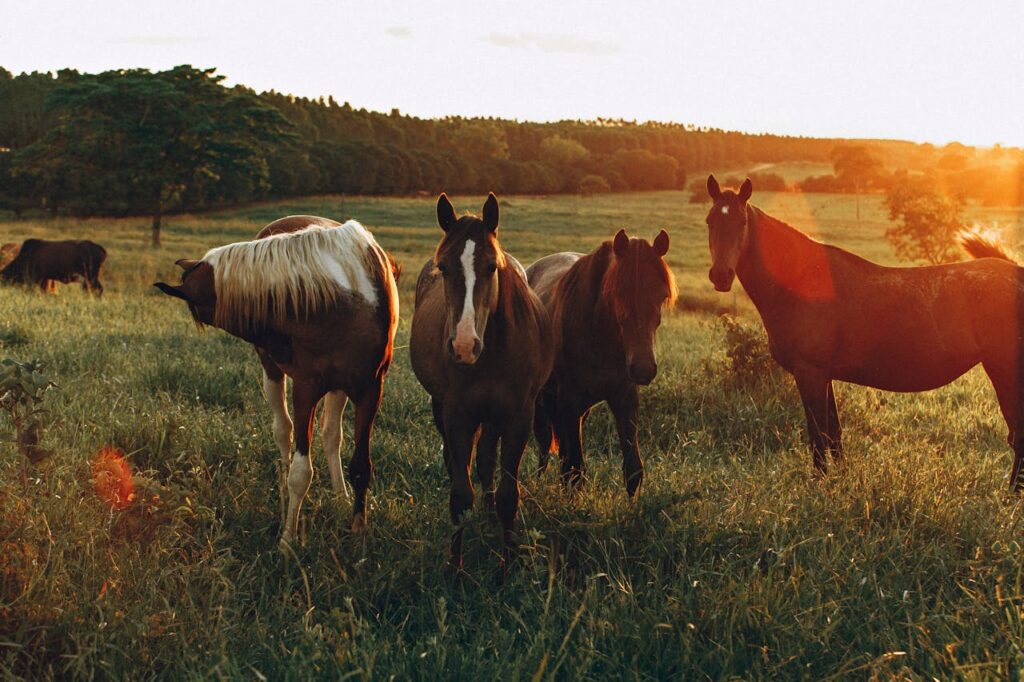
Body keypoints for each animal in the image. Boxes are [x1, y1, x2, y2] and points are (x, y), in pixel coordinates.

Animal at [154, 215, 400, 548]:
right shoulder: (305, 389)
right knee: (283, 431)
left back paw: (339, 496)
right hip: (273, 373)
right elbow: (300, 471)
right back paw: (285, 495)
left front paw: (358, 531)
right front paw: (287, 539)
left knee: (330, 435)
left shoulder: (369, 389)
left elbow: (361, 466)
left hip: (339, 387)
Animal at [410, 193, 552, 570]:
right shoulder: (458, 415)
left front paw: (506, 565)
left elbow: (507, 495)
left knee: (488, 459)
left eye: (491, 267)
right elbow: (460, 495)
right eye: (444, 267)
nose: (463, 345)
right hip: (444, 408)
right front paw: (454, 568)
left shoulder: (518, 417)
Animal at [527, 230, 675, 495]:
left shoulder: (624, 398)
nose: (643, 368)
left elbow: (633, 469)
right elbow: (575, 470)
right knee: (545, 445)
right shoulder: (569, 399)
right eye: (618, 294)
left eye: (662, 296)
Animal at [705, 174, 1024, 490]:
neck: (803, 281)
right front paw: (841, 480)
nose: (720, 276)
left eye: (742, 223)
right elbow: (834, 434)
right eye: (710, 221)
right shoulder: (824, 375)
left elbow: (818, 435)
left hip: (1004, 371)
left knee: (1018, 435)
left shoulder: (809, 373)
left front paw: (819, 483)